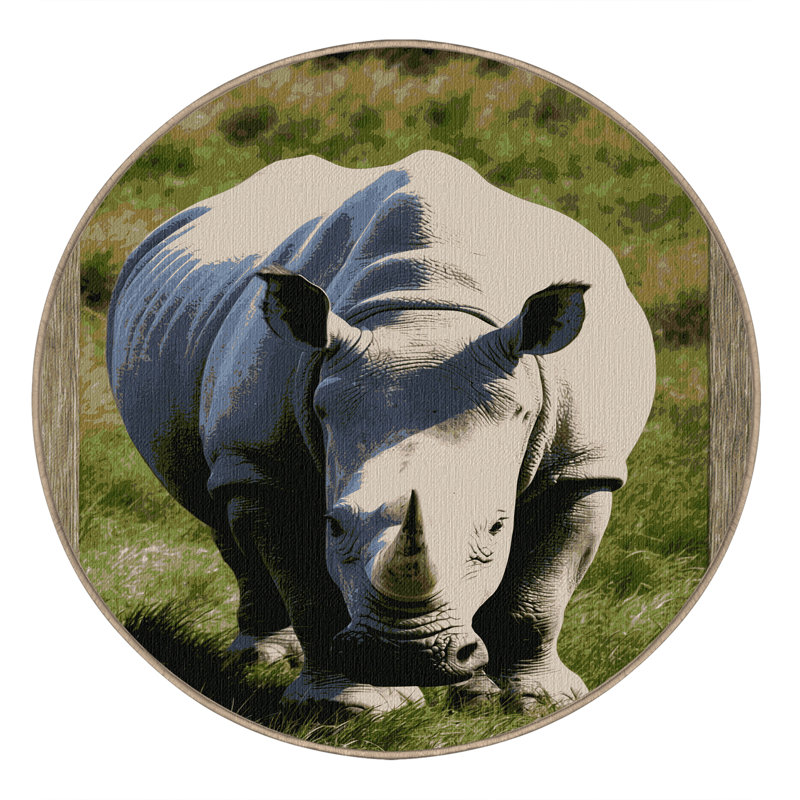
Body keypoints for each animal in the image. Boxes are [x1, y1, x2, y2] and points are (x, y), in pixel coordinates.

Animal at [107, 150, 655, 716]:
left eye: (496, 528)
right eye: (333, 526)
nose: (405, 654)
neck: (425, 311)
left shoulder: (581, 463)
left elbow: (539, 594)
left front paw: (535, 702)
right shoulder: (263, 460)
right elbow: (309, 591)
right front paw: (352, 708)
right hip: (230, 429)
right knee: (222, 506)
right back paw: (264, 660)